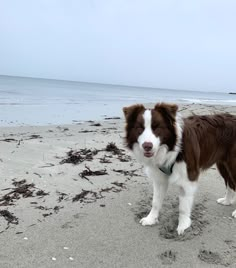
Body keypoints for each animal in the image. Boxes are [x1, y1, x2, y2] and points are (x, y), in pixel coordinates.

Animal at [122, 102, 236, 234]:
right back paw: (227, 201)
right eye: (140, 128)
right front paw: (151, 219)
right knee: (230, 183)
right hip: (222, 164)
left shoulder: (188, 177)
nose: (147, 146)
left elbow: (183, 207)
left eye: (157, 127)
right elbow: (155, 201)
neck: (172, 148)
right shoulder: (159, 178)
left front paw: (183, 226)